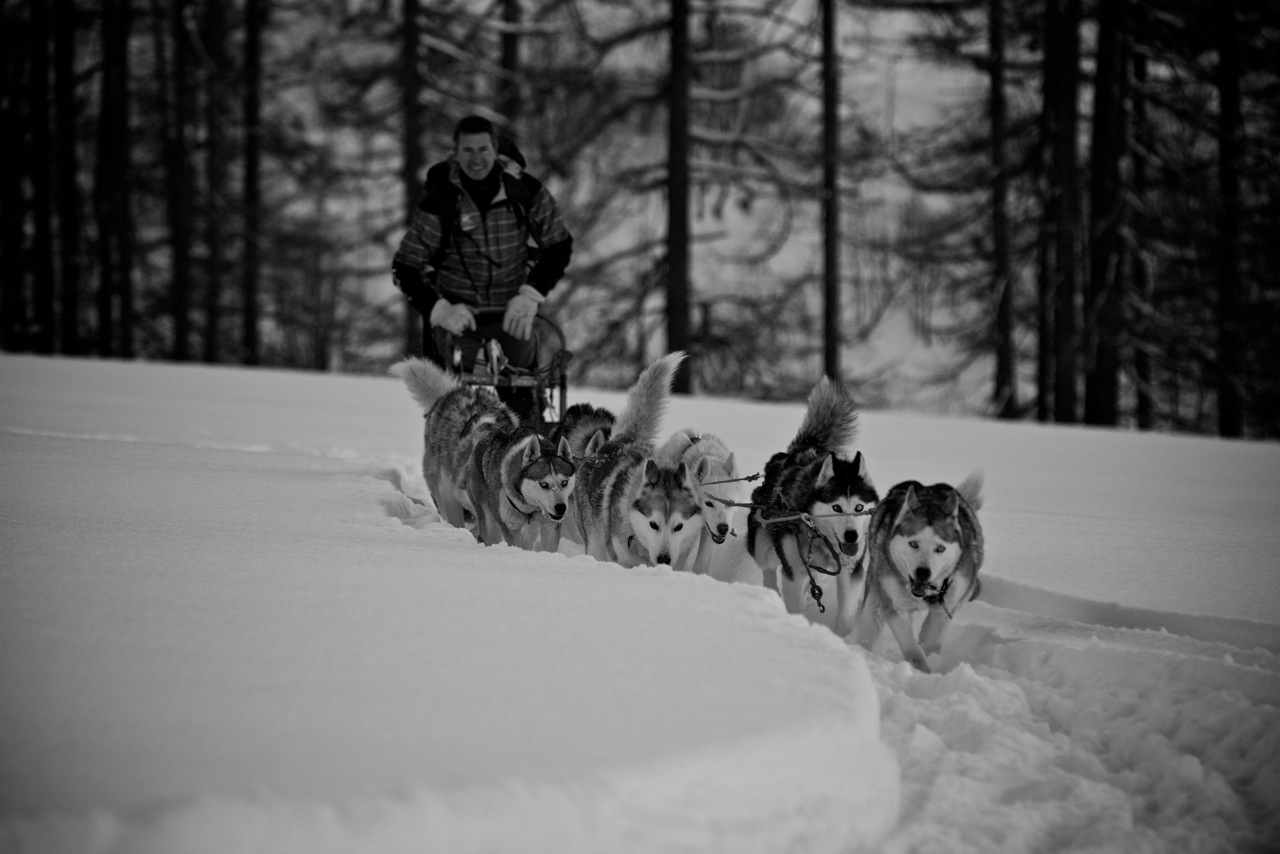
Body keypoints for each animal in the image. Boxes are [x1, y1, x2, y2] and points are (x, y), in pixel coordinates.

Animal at [747, 378, 875, 635]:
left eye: (858, 507)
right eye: (836, 507)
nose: (851, 535)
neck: (824, 540)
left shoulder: (851, 572)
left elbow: (845, 617)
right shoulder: (794, 571)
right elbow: (793, 597)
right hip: (763, 545)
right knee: (768, 568)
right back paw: (772, 594)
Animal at [855, 478, 983, 670]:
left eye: (940, 548)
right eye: (913, 544)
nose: (923, 572)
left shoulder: (948, 605)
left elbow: (933, 644)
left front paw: (932, 661)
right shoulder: (894, 606)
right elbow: (913, 652)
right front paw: (923, 670)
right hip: (876, 597)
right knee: (868, 625)